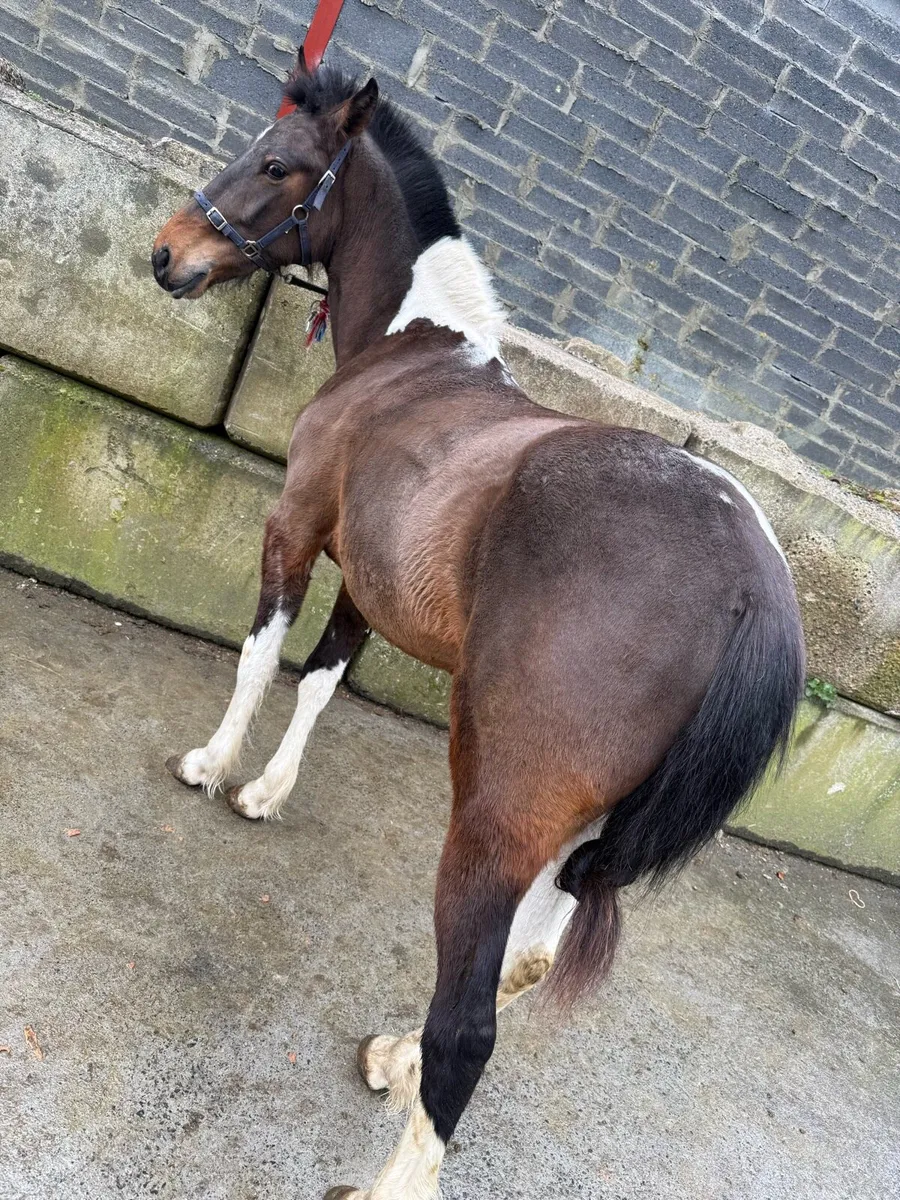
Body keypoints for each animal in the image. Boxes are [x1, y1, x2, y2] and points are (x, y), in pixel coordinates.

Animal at [152, 55, 805, 1200]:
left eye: (277, 163)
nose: (166, 254)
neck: (416, 354)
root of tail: (754, 590)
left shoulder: (295, 528)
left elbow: (261, 656)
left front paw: (213, 766)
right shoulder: (368, 584)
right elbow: (321, 676)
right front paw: (268, 790)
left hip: (495, 822)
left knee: (470, 1025)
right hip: (577, 839)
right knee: (524, 964)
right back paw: (396, 1054)